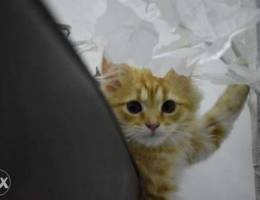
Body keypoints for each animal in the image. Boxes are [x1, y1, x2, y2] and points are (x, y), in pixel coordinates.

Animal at [99, 58, 250, 200]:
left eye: (169, 106)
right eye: (133, 107)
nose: (153, 125)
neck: (156, 154)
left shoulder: (195, 140)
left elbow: (220, 117)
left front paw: (243, 72)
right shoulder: (154, 192)